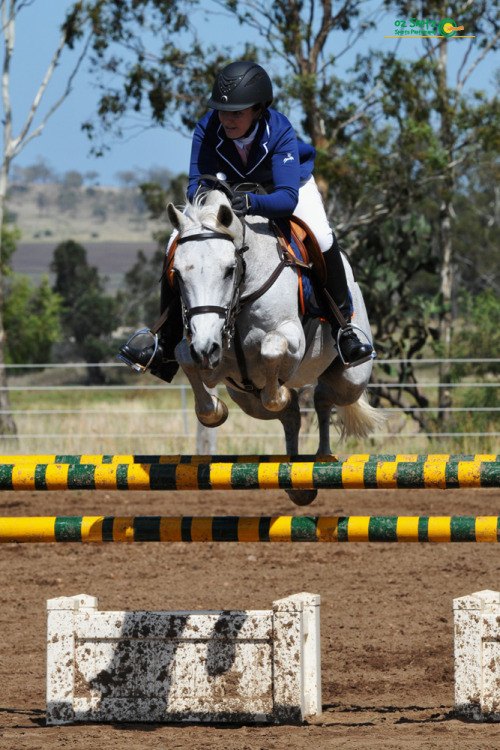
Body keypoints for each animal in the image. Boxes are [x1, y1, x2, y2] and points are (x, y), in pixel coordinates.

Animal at [168, 191, 382, 506]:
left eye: (229, 270)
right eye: (178, 273)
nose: (206, 349)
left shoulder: (291, 338)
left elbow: (272, 346)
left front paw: (278, 392)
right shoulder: (205, 350)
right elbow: (183, 356)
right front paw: (214, 411)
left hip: (351, 379)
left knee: (323, 397)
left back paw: (322, 457)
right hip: (245, 398)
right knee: (292, 413)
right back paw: (297, 481)